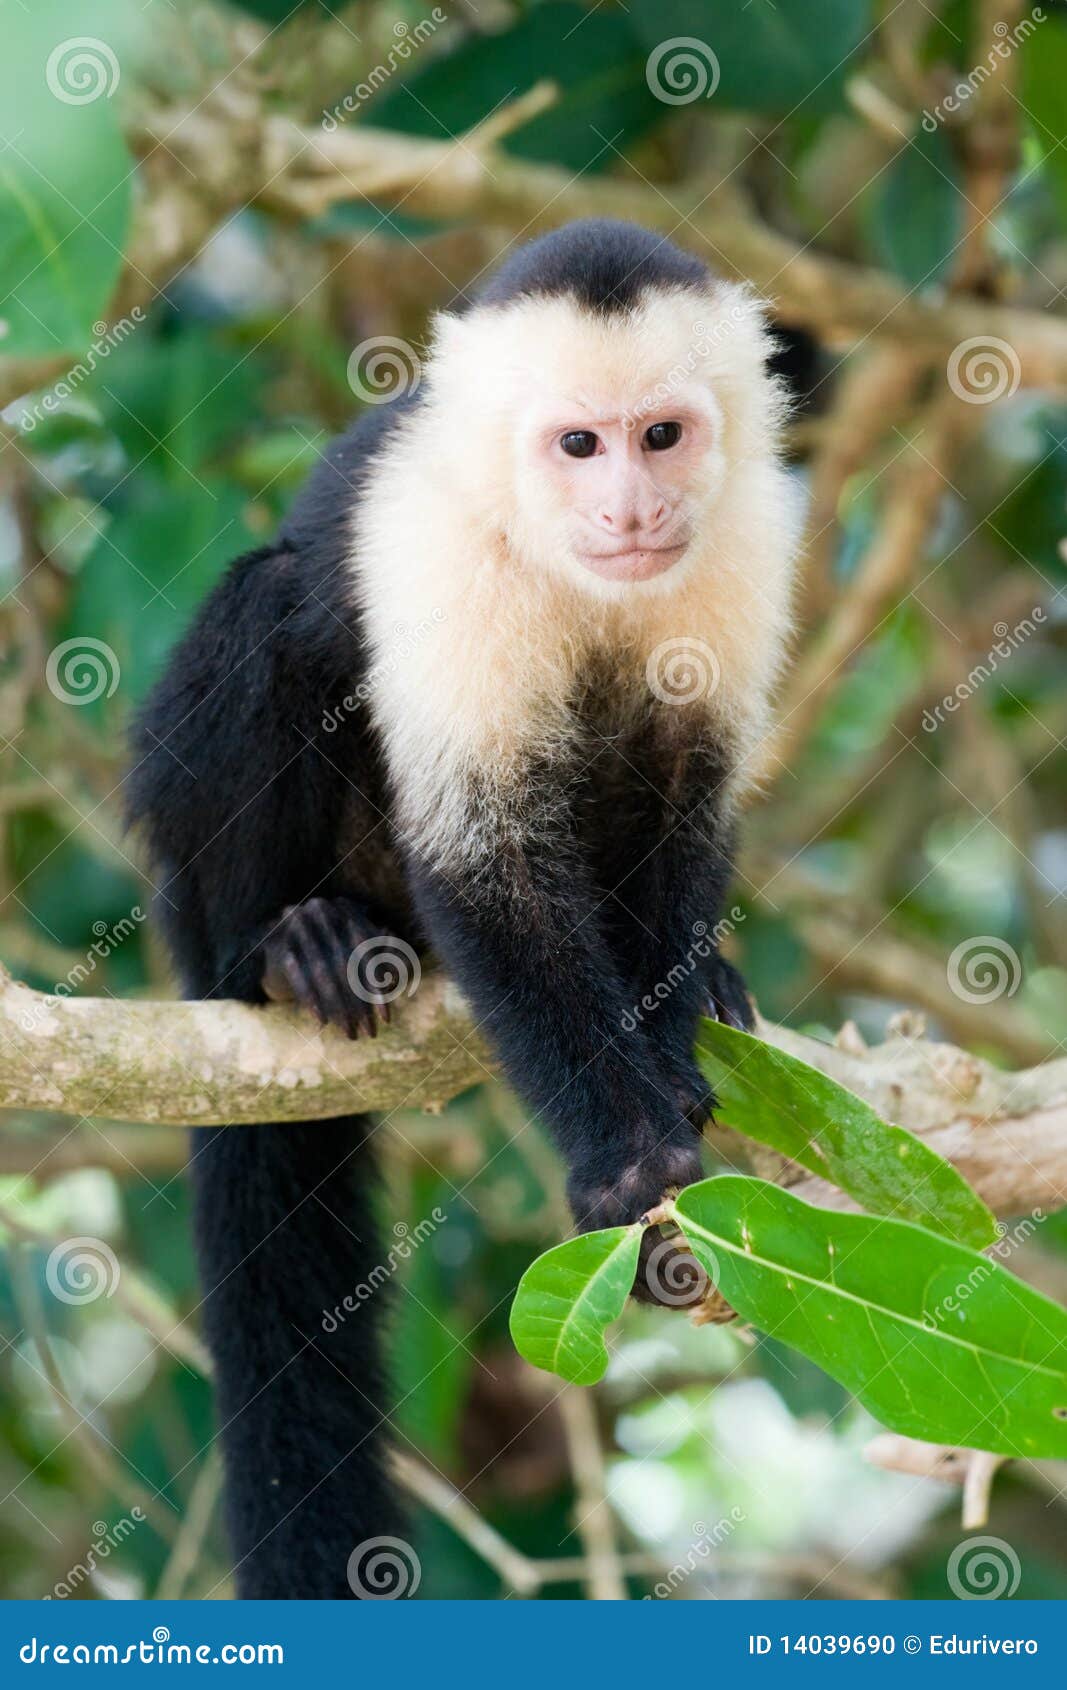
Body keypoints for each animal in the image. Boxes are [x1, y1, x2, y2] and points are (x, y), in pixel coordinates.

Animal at [127, 214, 801, 1595]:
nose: (630, 507)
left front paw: (674, 1063)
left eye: (662, 435)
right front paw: (631, 1159)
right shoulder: (436, 545)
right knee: (274, 611)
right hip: (197, 864)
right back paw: (287, 949)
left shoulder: (750, 536)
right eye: (578, 445)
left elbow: (684, 802)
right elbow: (486, 863)